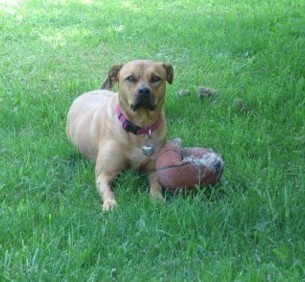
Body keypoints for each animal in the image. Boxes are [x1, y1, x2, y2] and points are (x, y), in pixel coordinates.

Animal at [65, 60, 172, 210]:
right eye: (131, 78)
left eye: (156, 78)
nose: (144, 91)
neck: (139, 127)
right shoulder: (104, 173)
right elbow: (106, 189)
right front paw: (110, 202)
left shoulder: (153, 171)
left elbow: (156, 185)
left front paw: (157, 199)